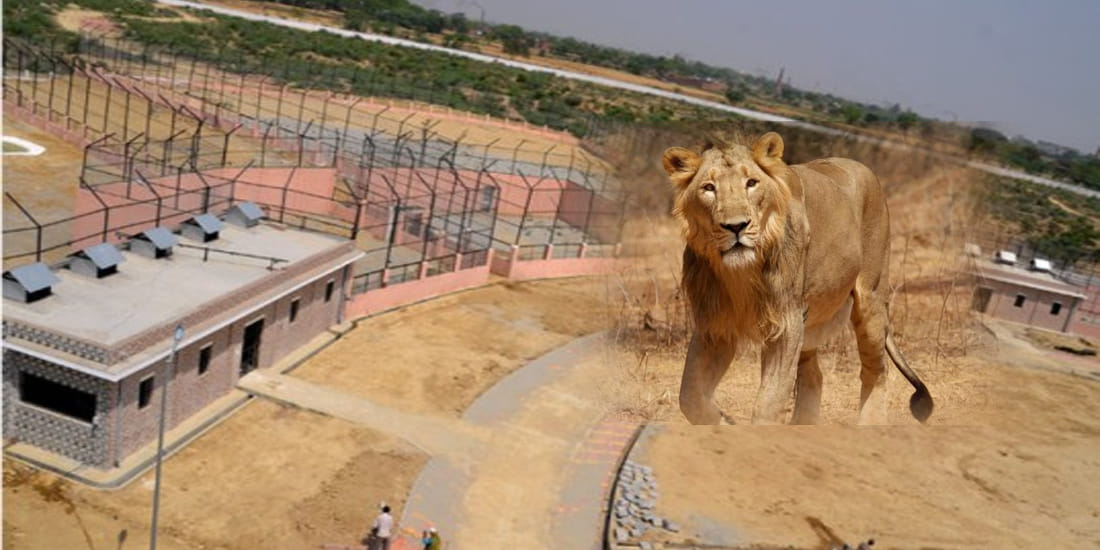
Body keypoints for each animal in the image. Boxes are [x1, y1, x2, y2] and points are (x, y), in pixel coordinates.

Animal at [660, 132, 933, 425]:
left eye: (751, 183)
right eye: (709, 188)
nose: (736, 226)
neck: (740, 272)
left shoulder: (786, 322)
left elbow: (768, 403)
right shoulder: (714, 325)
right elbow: (689, 396)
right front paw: (725, 422)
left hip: (870, 299)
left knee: (877, 370)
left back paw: (869, 424)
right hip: (810, 322)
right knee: (814, 375)